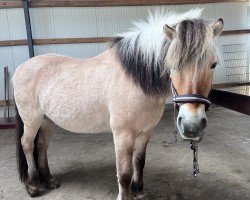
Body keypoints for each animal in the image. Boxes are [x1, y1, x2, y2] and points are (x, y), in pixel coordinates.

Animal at [12, 8, 223, 200]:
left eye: (213, 64)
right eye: (171, 65)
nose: (191, 126)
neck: (135, 80)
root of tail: (20, 68)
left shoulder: (146, 132)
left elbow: (139, 162)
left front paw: (138, 191)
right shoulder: (123, 134)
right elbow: (124, 172)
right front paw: (126, 194)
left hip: (47, 120)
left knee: (42, 145)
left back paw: (49, 180)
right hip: (32, 119)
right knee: (27, 144)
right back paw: (33, 186)